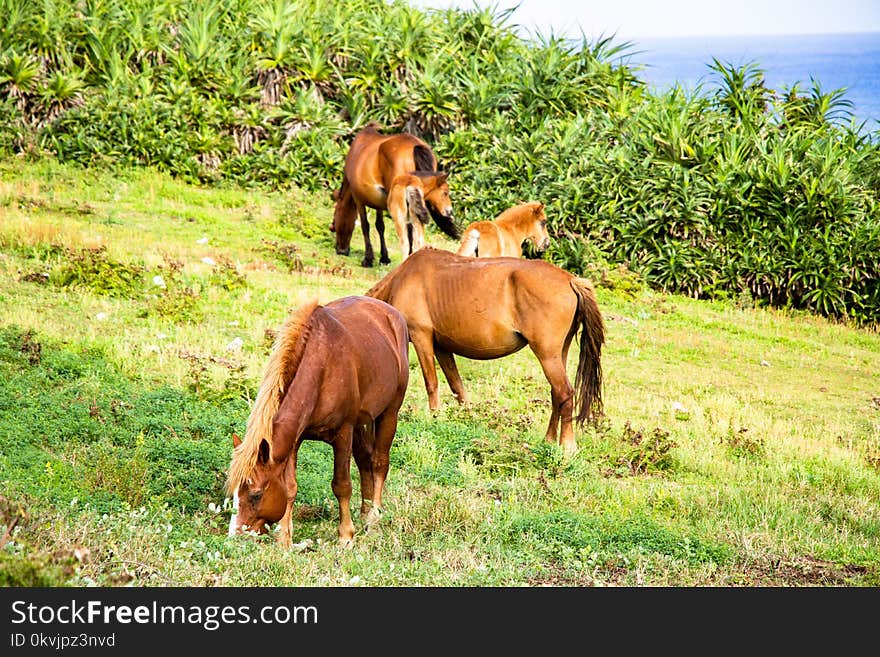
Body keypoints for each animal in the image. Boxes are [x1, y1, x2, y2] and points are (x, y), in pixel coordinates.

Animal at [223, 294, 410, 544]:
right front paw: (284, 539)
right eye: (234, 494)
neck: (322, 366)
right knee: (364, 461)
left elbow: (342, 485)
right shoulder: (295, 440)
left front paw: (345, 536)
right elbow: (290, 487)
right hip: (363, 422)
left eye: (256, 494)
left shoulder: (343, 434)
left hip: (389, 413)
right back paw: (364, 513)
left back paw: (374, 519)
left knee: (379, 463)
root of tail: (392, 314)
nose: (235, 537)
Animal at [326, 120, 458, 266]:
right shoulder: (378, 202)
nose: (341, 250)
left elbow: (365, 226)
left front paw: (368, 259)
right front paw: (384, 257)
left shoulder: (358, 199)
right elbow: (380, 226)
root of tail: (415, 146)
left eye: (335, 215)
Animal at [364, 246, 604, 452]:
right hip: (558, 354)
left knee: (565, 392)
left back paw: (567, 445)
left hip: (547, 355)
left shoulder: (422, 337)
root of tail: (571, 280)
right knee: (557, 394)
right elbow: (458, 388)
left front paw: (434, 418)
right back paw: (549, 439)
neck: (402, 280)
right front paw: (467, 418)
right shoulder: (442, 348)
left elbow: (431, 384)